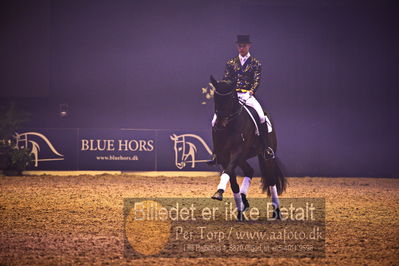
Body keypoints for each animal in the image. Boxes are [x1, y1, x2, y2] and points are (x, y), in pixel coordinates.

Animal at [209, 75, 288, 220]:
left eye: (231, 98)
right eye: (215, 97)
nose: (220, 125)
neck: (230, 125)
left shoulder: (236, 152)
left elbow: (228, 172)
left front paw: (219, 193)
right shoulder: (223, 156)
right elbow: (233, 183)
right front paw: (239, 210)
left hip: (266, 157)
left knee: (271, 181)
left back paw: (277, 213)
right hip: (242, 158)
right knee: (249, 171)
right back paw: (244, 202)